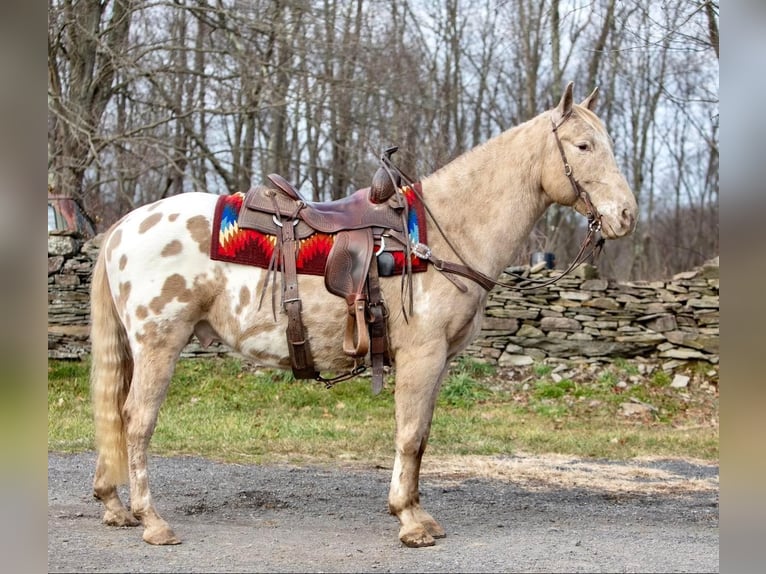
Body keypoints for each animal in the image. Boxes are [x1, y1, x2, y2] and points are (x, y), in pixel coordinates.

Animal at [90, 83, 640, 552]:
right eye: (584, 145)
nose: (627, 216)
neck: (442, 234)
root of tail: (124, 225)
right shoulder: (422, 355)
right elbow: (410, 434)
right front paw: (410, 522)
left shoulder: (439, 361)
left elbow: (422, 436)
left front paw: (418, 513)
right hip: (159, 345)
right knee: (137, 421)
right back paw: (152, 521)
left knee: (117, 415)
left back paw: (114, 505)